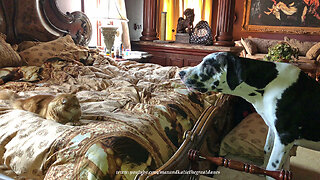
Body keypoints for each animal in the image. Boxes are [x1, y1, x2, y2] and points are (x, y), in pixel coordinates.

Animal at [179, 51, 318, 177]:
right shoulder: (272, 130)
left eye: (208, 64)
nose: (181, 73)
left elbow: (272, 170)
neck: (270, 84)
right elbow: (266, 151)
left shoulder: (284, 138)